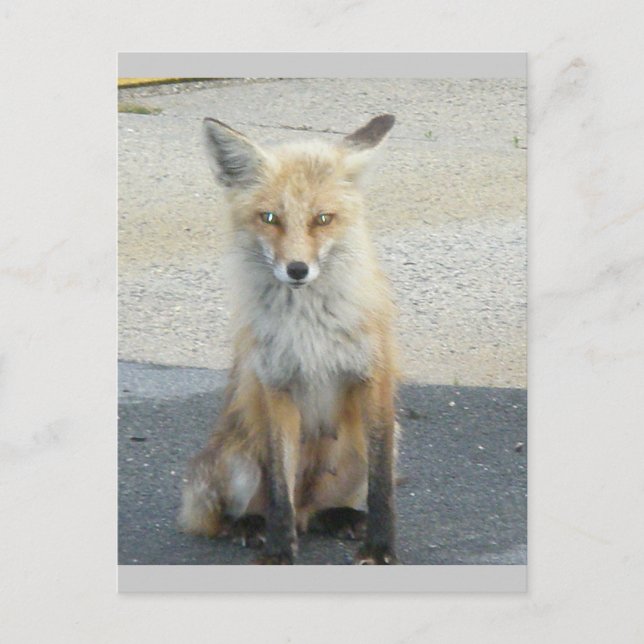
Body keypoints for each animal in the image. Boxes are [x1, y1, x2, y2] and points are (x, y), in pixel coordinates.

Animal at [178, 113, 399, 564]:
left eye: (323, 219)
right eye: (269, 218)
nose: (297, 270)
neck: (310, 323)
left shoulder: (374, 377)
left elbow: (382, 486)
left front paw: (380, 547)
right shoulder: (276, 384)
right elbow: (280, 490)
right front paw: (279, 551)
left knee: (317, 508)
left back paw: (339, 516)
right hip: (240, 462)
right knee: (235, 514)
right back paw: (250, 525)